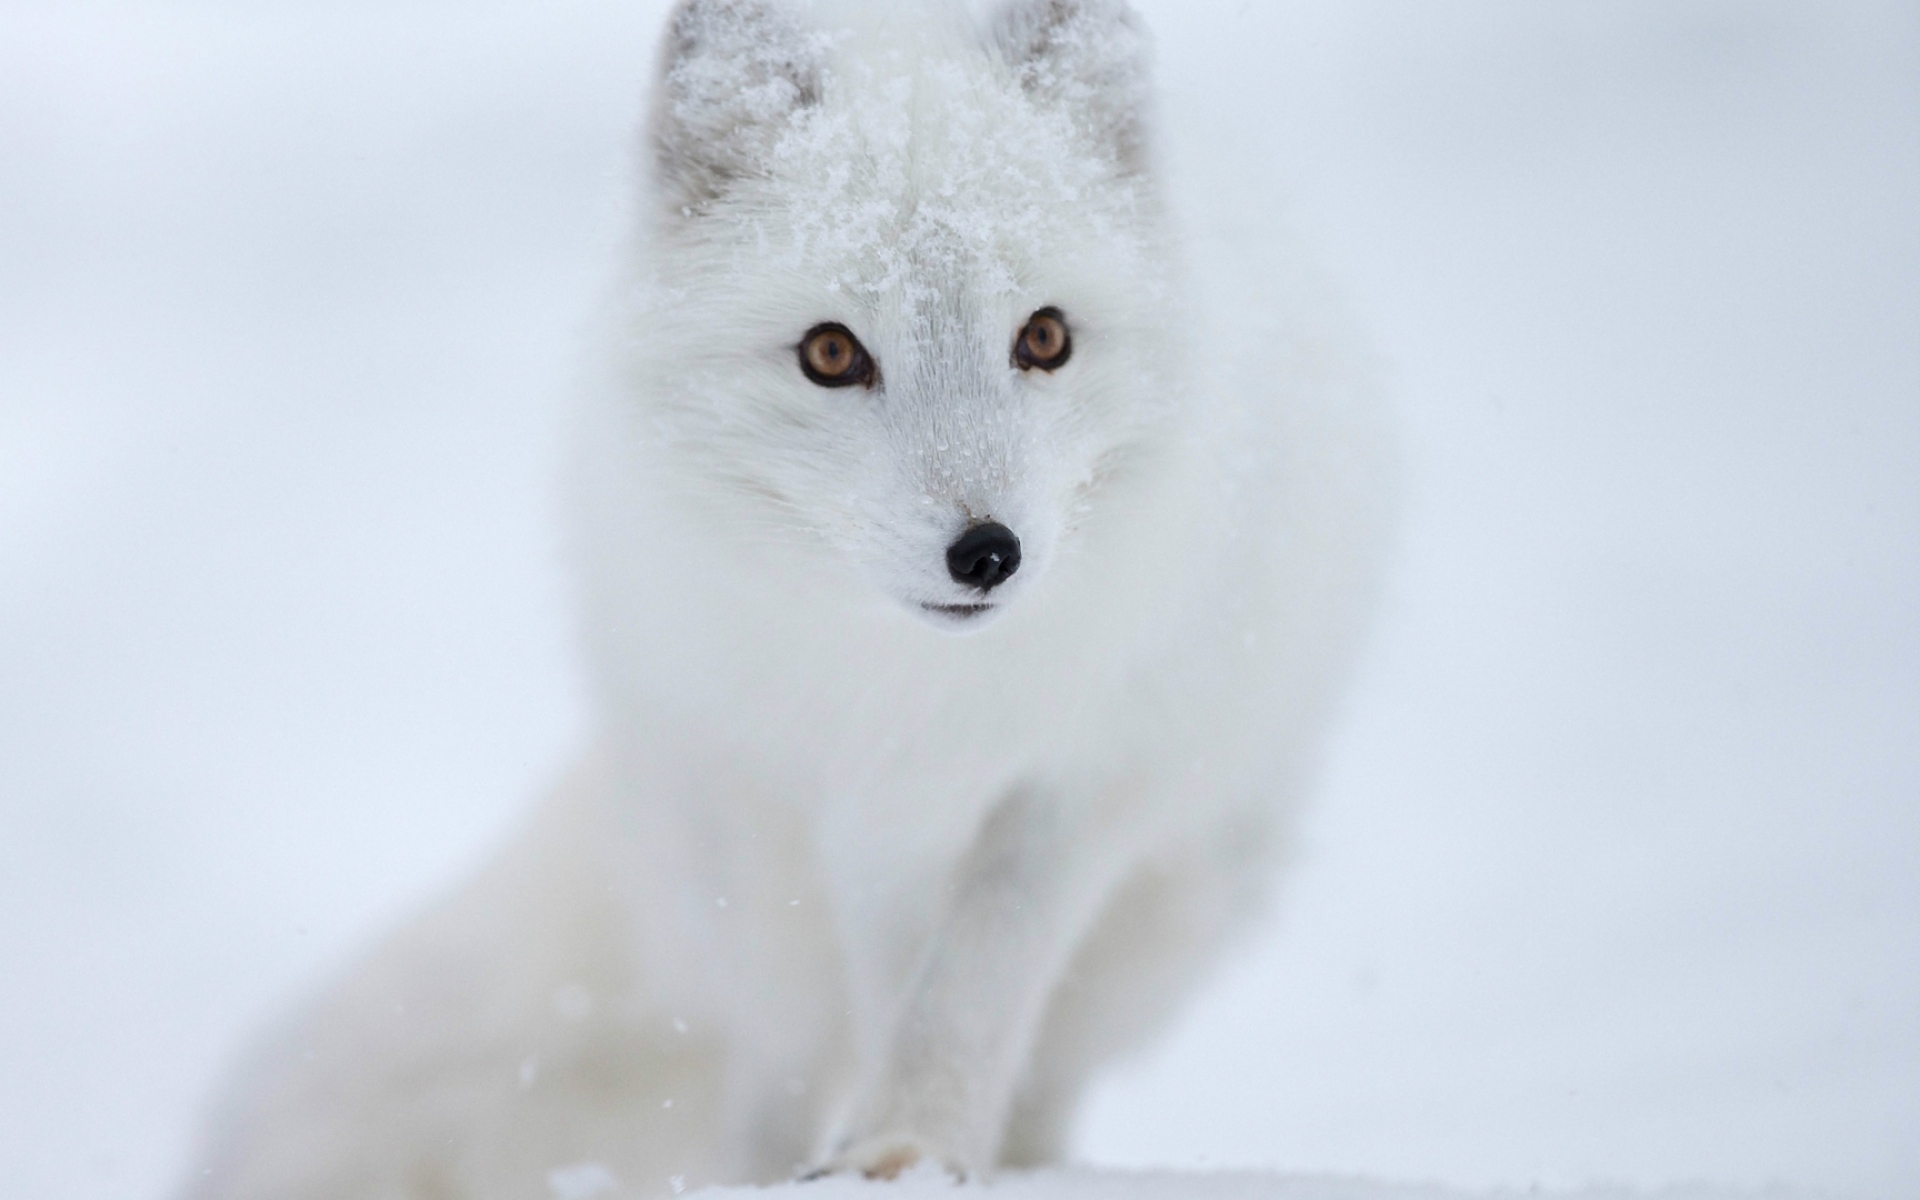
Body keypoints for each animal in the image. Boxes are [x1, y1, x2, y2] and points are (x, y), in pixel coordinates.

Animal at [184, 0, 1390, 1196]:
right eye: (831, 353)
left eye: (1044, 337)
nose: (987, 555)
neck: (912, 693)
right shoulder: (795, 803)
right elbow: (840, 1018)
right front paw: (836, 1161)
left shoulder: (1076, 785)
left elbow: (970, 987)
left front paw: (911, 1147)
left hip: (1182, 894)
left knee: (1044, 1063)